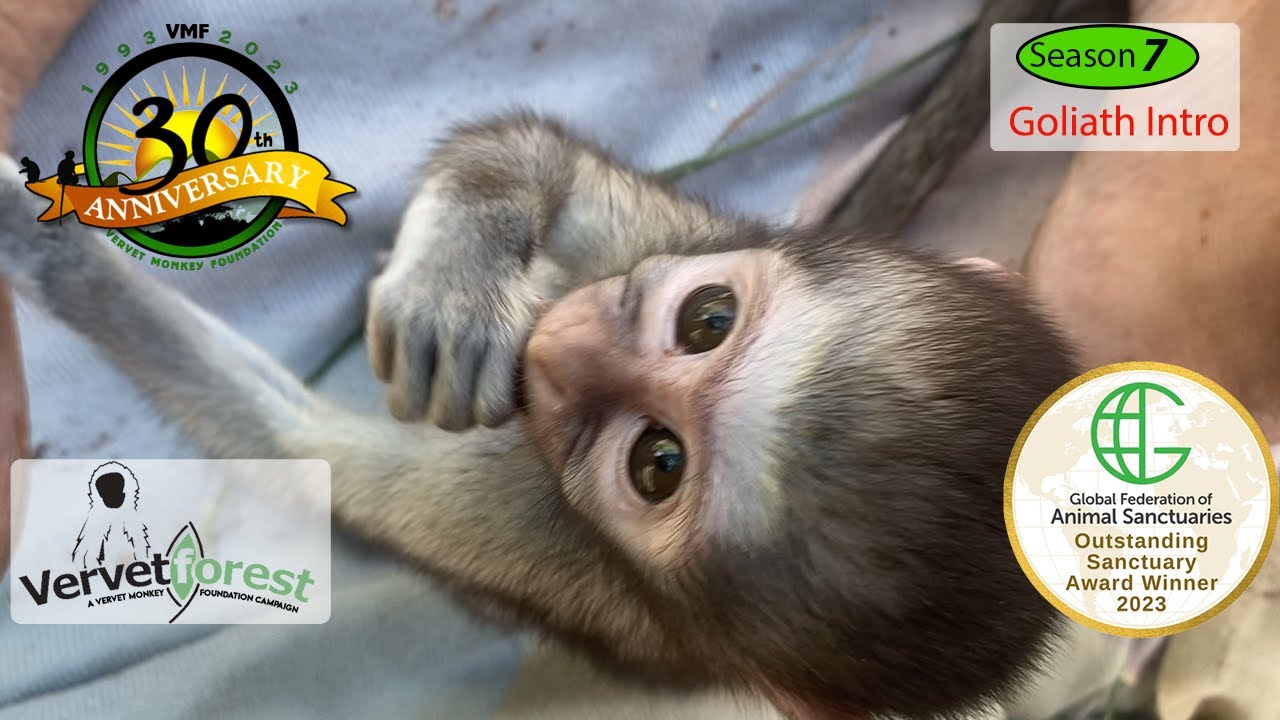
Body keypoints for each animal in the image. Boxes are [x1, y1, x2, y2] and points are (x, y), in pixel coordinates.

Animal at [0, 113, 1078, 720]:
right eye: (708, 318)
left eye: (658, 464)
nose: (563, 354)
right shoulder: (670, 238)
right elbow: (542, 158)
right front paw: (468, 242)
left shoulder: (539, 527)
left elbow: (288, 444)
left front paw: (45, 249)